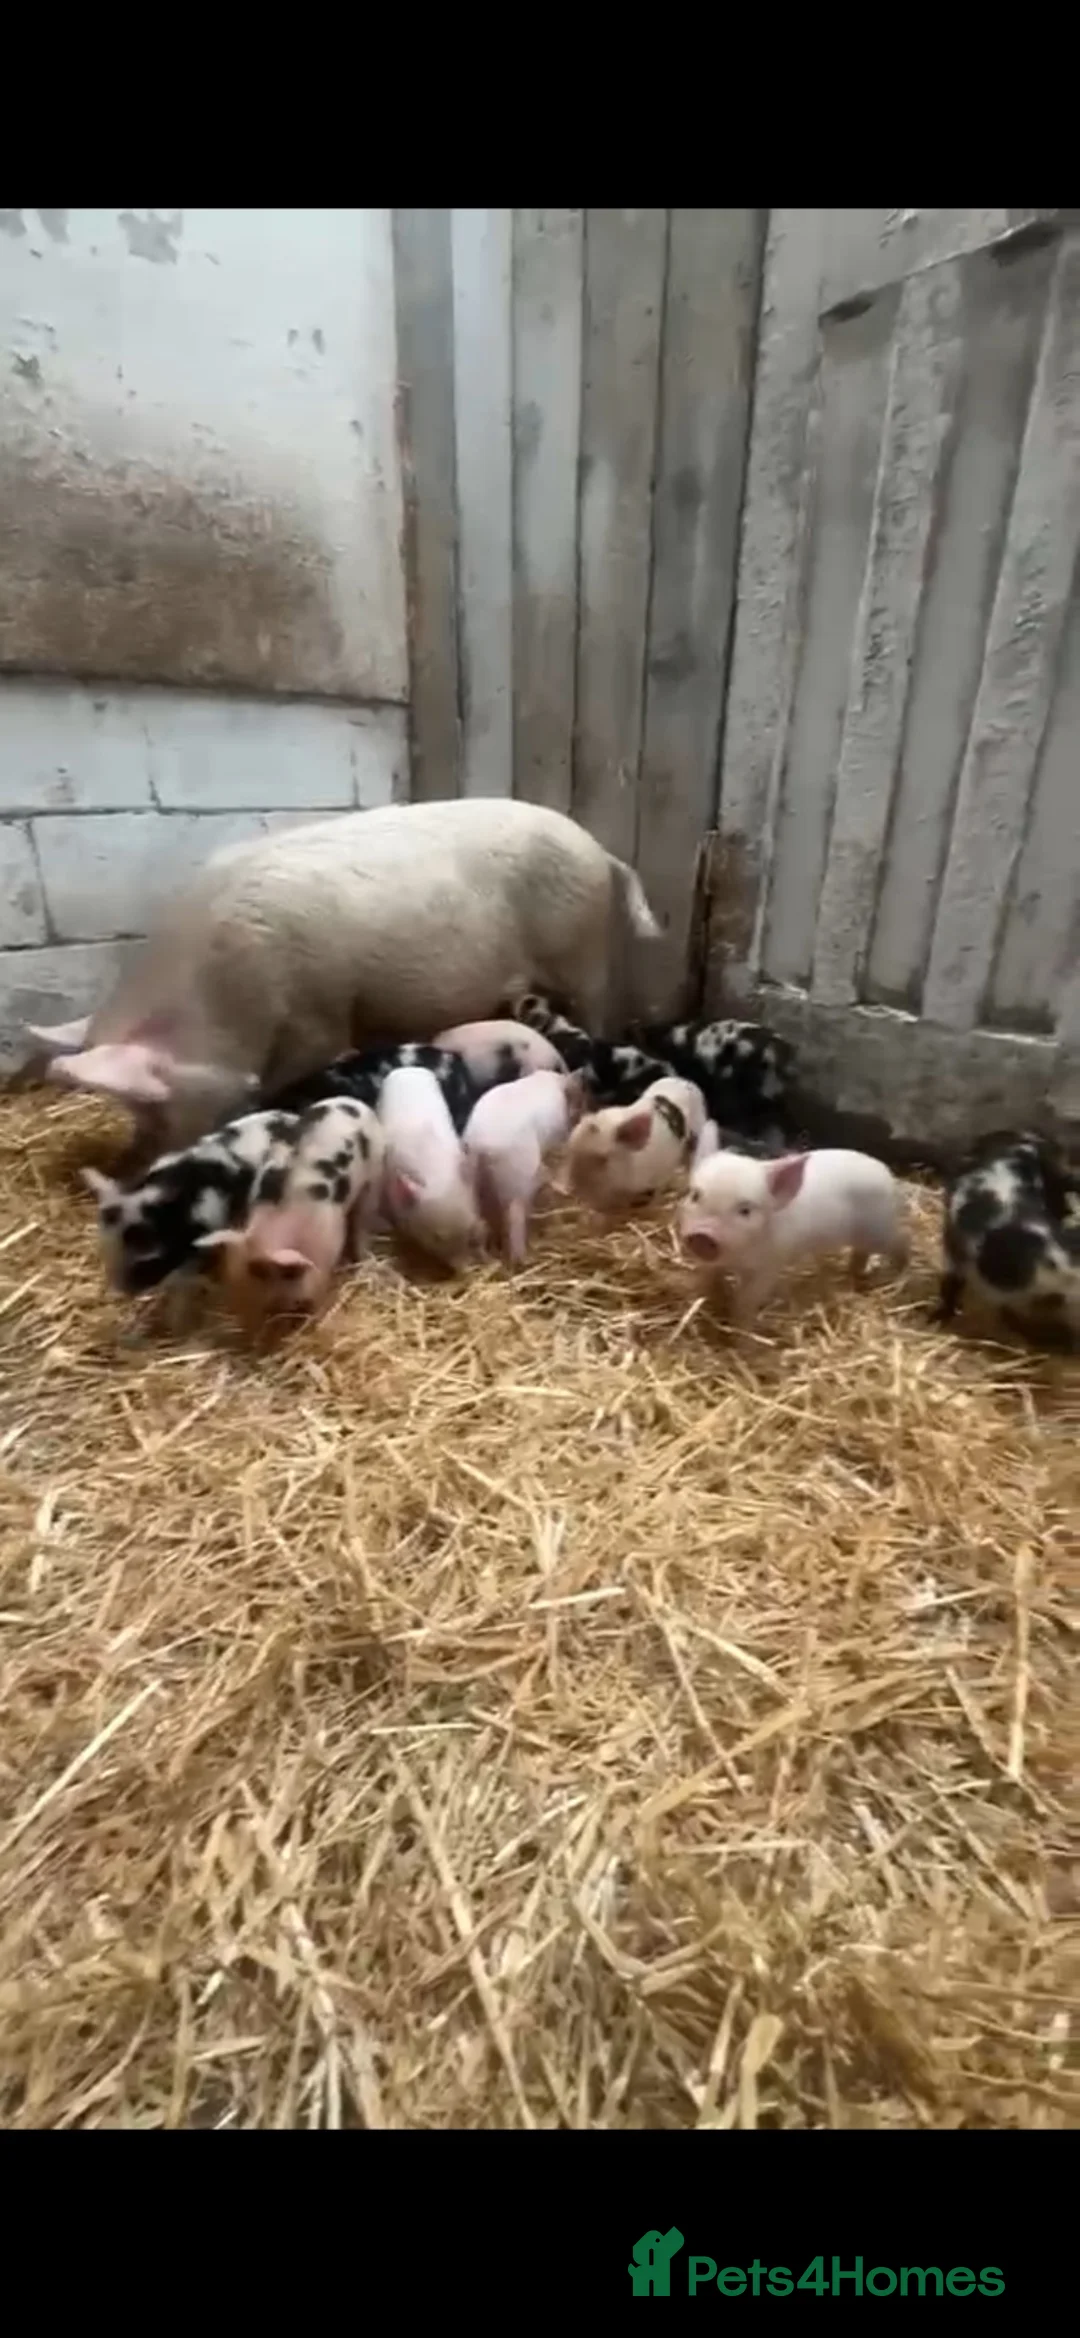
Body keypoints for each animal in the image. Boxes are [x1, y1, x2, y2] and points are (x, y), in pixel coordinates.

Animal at [28, 797, 662, 1151]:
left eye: (152, 1104)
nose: (143, 1157)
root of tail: (600, 850)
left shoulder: (319, 1019)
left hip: (581, 951)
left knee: (598, 1009)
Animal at [462, 1069, 585, 1264]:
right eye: (578, 1099)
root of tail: (481, 1147)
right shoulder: (557, 1136)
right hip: (518, 1176)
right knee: (516, 1217)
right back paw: (522, 1258)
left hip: (473, 1183)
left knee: (482, 1221)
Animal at [565, 1078, 709, 1215]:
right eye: (571, 1151)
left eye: (603, 1159)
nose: (572, 1190)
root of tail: (685, 1081)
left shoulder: (662, 1173)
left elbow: (657, 1195)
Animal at [678, 1147, 910, 1324]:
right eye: (695, 1195)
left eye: (745, 1210)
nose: (703, 1235)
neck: (738, 1257)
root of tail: (887, 1174)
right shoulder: (714, 1262)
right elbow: (709, 1280)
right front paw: (707, 1300)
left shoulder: (769, 1266)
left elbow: (746, 1300)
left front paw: (742, 1334)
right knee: (862, 1252)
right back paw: (854, 1276)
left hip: (880, 1230)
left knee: (901, 1242)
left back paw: (899, 1274)